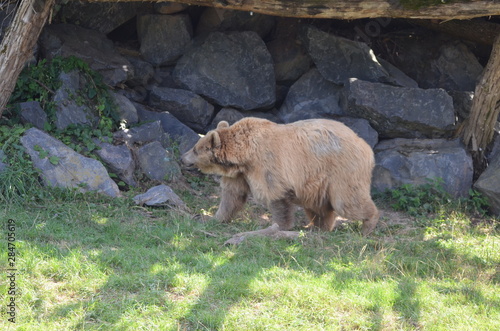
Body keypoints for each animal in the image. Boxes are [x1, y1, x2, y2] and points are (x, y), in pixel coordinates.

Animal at [180, 116, 378, 236]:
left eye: (196, 149)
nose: (182, 158)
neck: (245, 155)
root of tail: (365, 145)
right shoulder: (240, 174)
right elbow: (232, 196)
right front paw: (212, 217)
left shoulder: (267, 165)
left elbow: (276, 196)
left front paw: (276, 227)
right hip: (317, 183)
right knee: (320, 207)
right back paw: (318, 227)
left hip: (342, 171)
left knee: (347, 202)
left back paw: (368, 225)